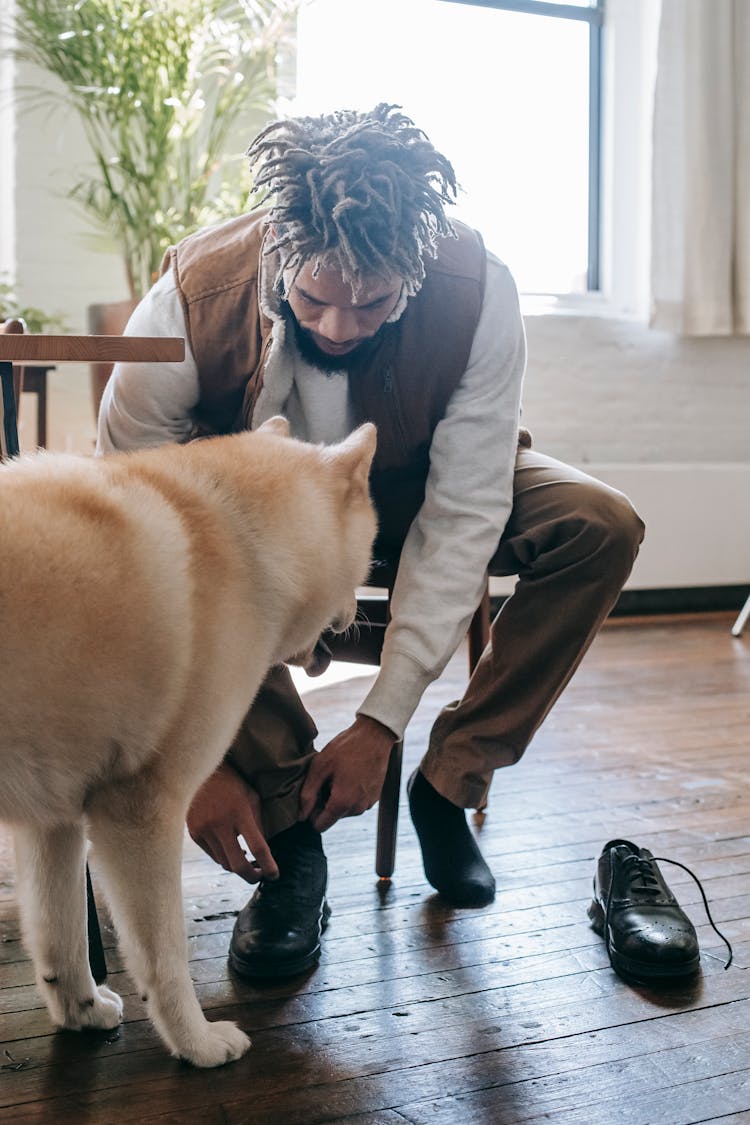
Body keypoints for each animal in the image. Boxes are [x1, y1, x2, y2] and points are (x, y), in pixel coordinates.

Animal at [0, 418, 375, 1066]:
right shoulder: (139, 812)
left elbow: (60, 934)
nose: (356, 616)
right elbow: (164, 958)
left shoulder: (54, 819)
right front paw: (196, 1043)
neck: (242, 539)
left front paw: (81, 1010)